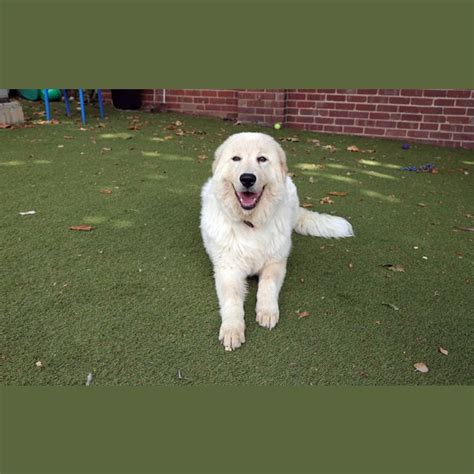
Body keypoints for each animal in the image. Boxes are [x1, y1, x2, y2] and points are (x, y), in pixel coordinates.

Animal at [199, 131, 352, 350]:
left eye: (262, 159)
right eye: (236, 158)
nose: (247, 178)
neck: (250, 223)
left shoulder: (275, 263)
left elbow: (268, 285)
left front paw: (267, 311)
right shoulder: (228, 270)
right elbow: (232, 300)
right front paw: (232, 329)